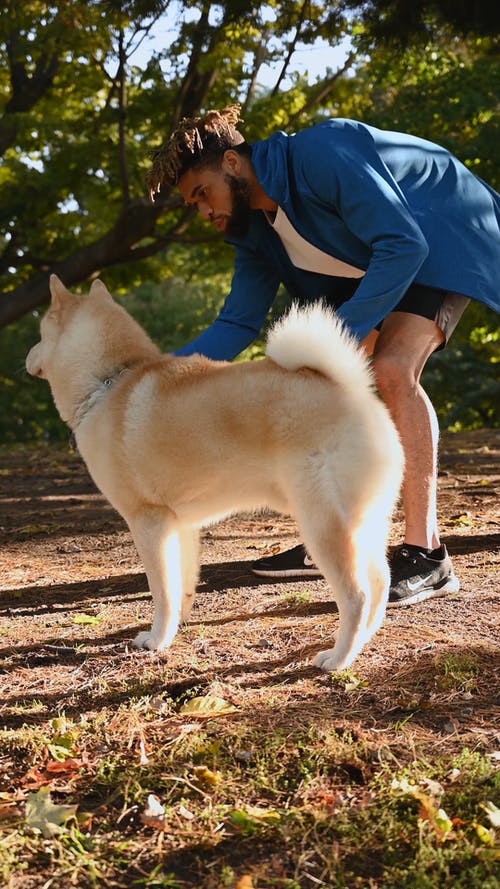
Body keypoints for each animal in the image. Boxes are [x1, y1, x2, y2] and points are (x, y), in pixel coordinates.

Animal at [26, 274, 402, 668]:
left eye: (40, 333)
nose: (27, 356)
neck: (109, 382)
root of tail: (351, 391)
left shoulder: (148, 522)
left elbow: (161, 591)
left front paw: (156, 639)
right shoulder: (179, 525)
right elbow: (181, 587)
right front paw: (176, 628)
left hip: (322, 526)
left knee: (357, 596)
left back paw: (339, 658)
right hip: (367, 523)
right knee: (380, 582)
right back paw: (365, 641)